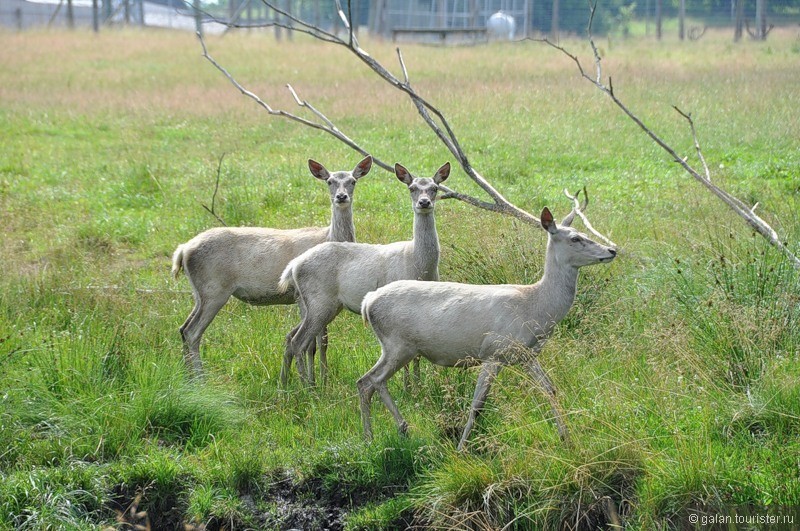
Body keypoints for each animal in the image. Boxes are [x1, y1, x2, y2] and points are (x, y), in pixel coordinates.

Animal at [172, 156, 372, 376]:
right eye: (329, 181)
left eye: (353, 181)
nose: (341, 196)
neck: (327, 236)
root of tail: (183, 250)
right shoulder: (301, 295)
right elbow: (312, 343)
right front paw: (314, 379)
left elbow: (322, 341)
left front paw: (321, 377)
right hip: (214, 289)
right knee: (192, 331)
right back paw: (200, 377)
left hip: (200, 292)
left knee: (183, 328)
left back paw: (188, 377)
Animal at [278, 162, 446, 386]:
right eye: (412, 188)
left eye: (435, 188)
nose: (424, 202)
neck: (418, 264)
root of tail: (294, 265)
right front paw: (408, 387)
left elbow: (416, 356)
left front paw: (416, 386)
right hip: (319, 301)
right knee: (298, 341)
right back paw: (306, 387)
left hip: (320, 304)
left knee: (292, 338)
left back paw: (287, 384)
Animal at [360, 206, 616, 450]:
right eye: (575, 238)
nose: (611, 250)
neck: (534, 308)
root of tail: (368, 301)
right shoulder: (493, 352)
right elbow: (477, 404)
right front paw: (461, 448)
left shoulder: (525, 354)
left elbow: (549, 389)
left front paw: (567, 439)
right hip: (398, 344)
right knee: (372, 380)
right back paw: (395, 429)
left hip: (396, 347)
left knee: (365, 382)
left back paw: (371, 437)